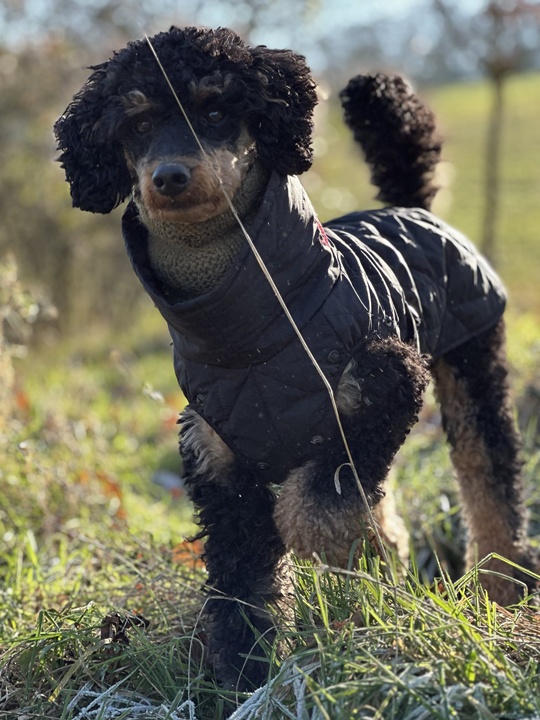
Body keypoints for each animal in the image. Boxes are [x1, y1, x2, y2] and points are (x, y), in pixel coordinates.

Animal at [54, 26, 537, 689]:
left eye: (214, 111)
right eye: (139, 123)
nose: (170, 177)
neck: (254, 336)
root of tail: (411, 207)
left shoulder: (386, 383)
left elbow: (318, 502)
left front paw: (333, 549)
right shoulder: (217, 460)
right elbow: (242, 584)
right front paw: (241, 677)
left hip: (472, 360)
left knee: (488, 474)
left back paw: (501, 587)